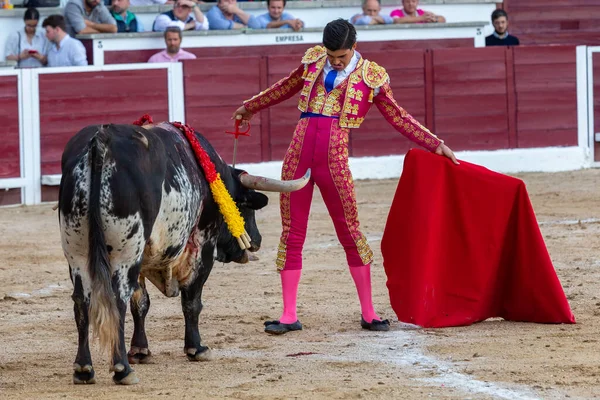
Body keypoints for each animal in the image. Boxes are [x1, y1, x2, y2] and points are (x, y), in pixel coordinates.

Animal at [58, 122, 310, 384]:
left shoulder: (142, 259)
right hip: (125, 253)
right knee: (117, 299)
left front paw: (140, 350)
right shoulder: (202, 246)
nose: (256, 241)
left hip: (78, 251)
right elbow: (192, 300)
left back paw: (84, 368)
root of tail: (102, 140)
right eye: (242, 206)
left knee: (82, 300)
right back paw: (122, 369)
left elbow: (142, 303)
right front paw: (196, 348)